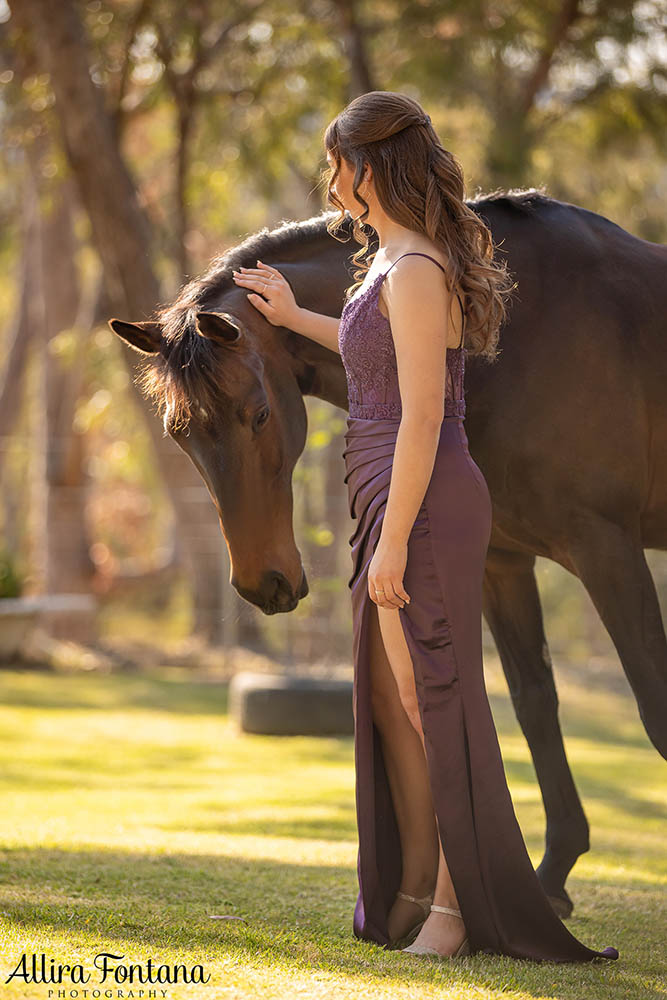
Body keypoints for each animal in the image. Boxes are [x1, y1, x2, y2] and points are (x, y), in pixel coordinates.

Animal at [111, 191, 667, 916]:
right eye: (180, 434)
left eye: (258, 414)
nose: (263, 584)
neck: (513, 338)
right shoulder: (503, 562)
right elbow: (535, 705)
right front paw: (550, 882)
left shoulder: (606, 548)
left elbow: (653, 705)